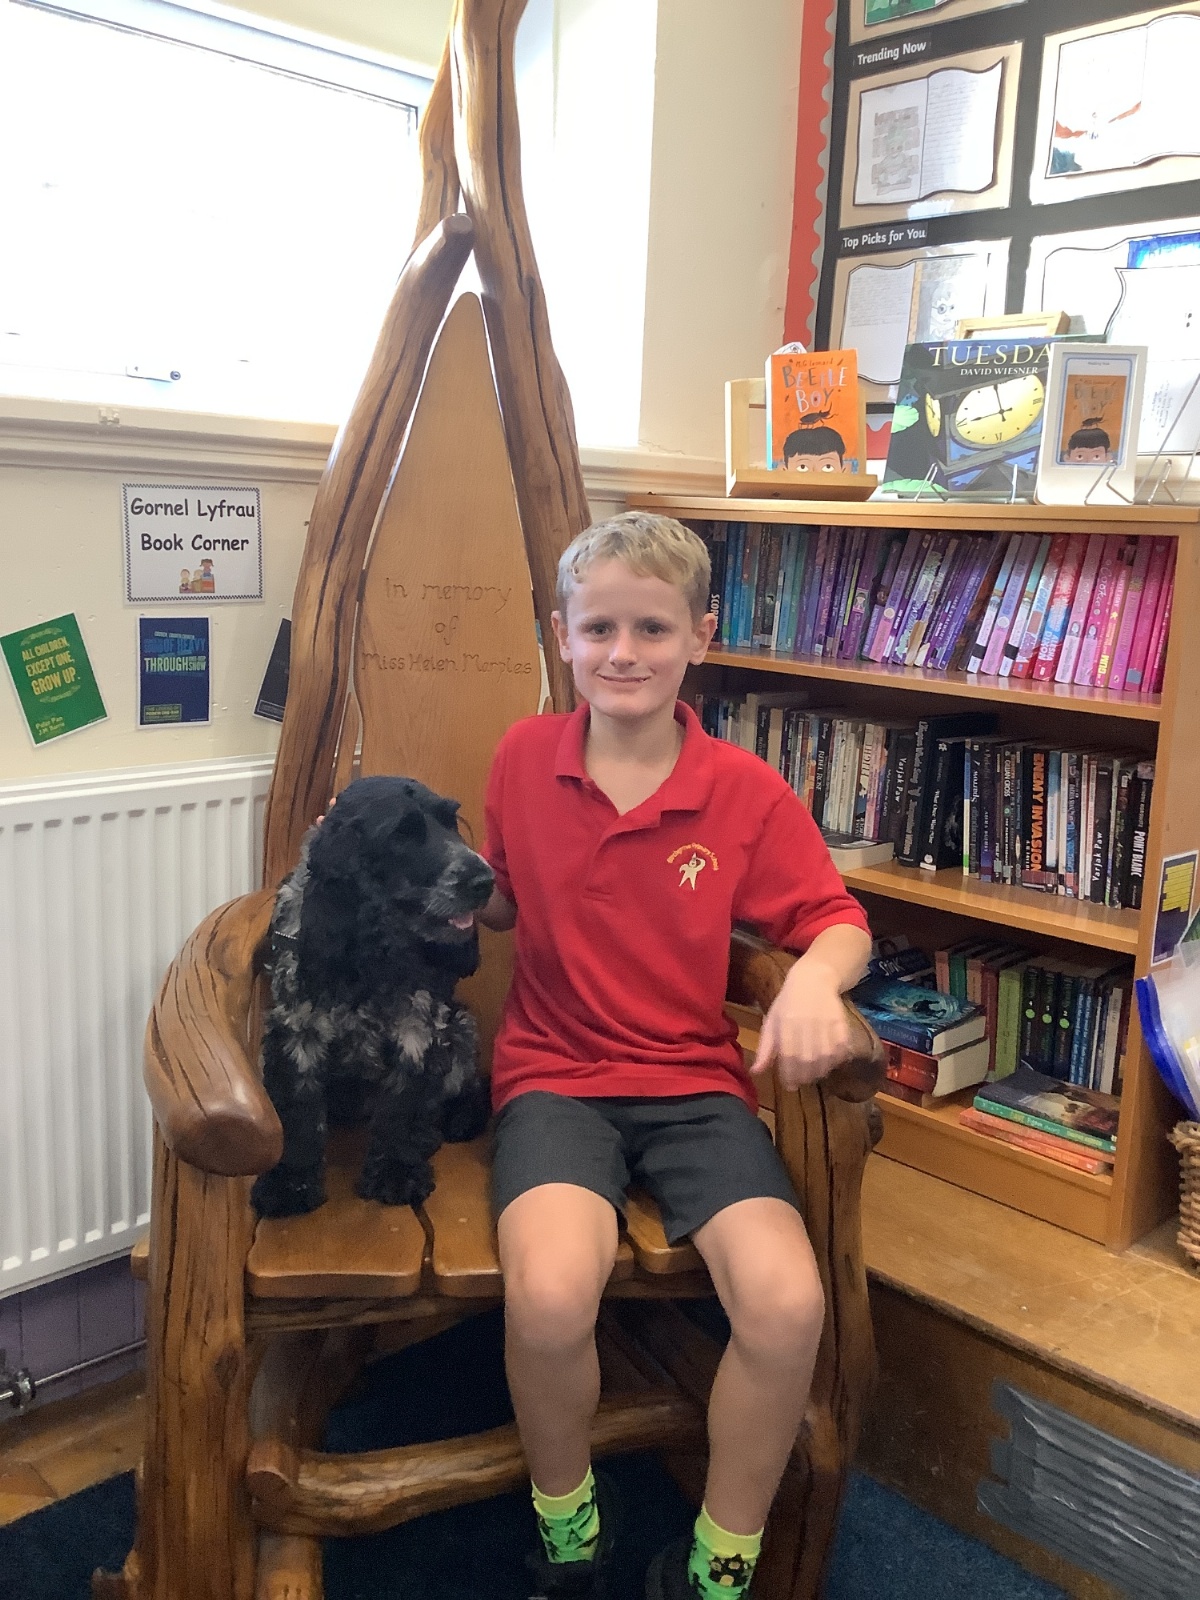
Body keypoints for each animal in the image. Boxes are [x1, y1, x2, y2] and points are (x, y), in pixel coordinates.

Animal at [250, 775, 495, 1218]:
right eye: (402, 833)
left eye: (450, 822)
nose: (485, 882)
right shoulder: (295, 1031)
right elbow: (296, 1110)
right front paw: (289, 1183)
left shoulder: (419, 1029)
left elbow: (402, 1108)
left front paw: (396, 1173)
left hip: (461, 1026)